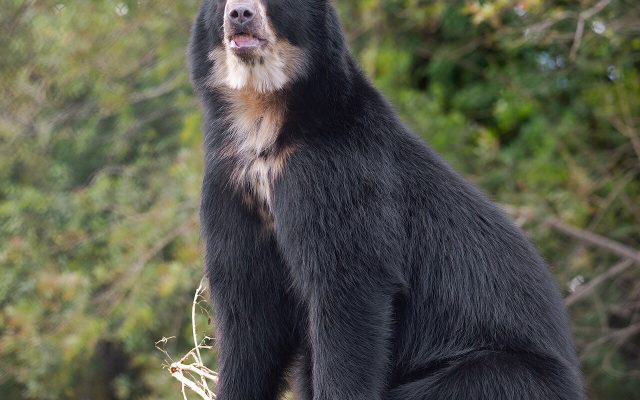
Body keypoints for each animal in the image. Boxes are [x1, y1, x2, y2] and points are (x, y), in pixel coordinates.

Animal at [188, 1, 584, 399]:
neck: (263, 118)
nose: (240, 14)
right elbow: (248, 308)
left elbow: (350, 286)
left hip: (504, 374)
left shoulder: (336, 175)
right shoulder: (229, 184)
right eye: (221, 4)